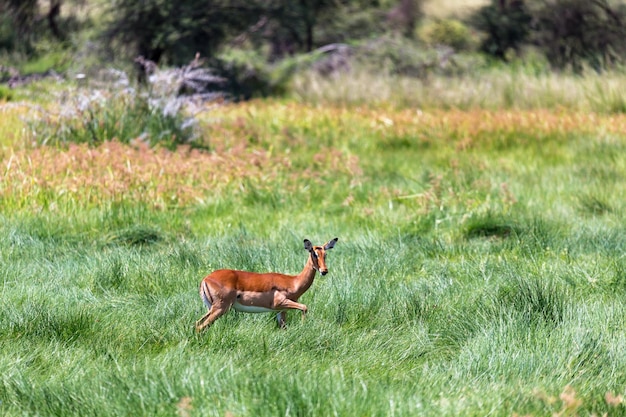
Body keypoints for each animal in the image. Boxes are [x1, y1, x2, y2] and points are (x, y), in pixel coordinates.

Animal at [195, 237, 338, 332]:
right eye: (314, 253)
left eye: (325, 254)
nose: (324, 271)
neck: (293, 282)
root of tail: (205, 279)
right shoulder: (280, 303)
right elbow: (304, 307)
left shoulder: (281, 310)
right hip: (220, 308)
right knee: (200, 325)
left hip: (212, 308)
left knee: (198, 323)